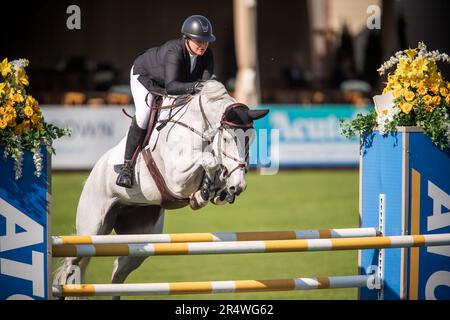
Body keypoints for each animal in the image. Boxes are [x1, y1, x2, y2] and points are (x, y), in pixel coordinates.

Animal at [55, 79, 268, 298]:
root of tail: (92, 174)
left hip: (140, 239)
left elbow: (214, 167)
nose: (239, 186)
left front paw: (216, 190)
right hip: (93, 227)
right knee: (72, 263)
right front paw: (202, 194)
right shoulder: (177, 179)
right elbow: (209, 160)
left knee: (118, 273)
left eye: (250, 139)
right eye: (226, 139)